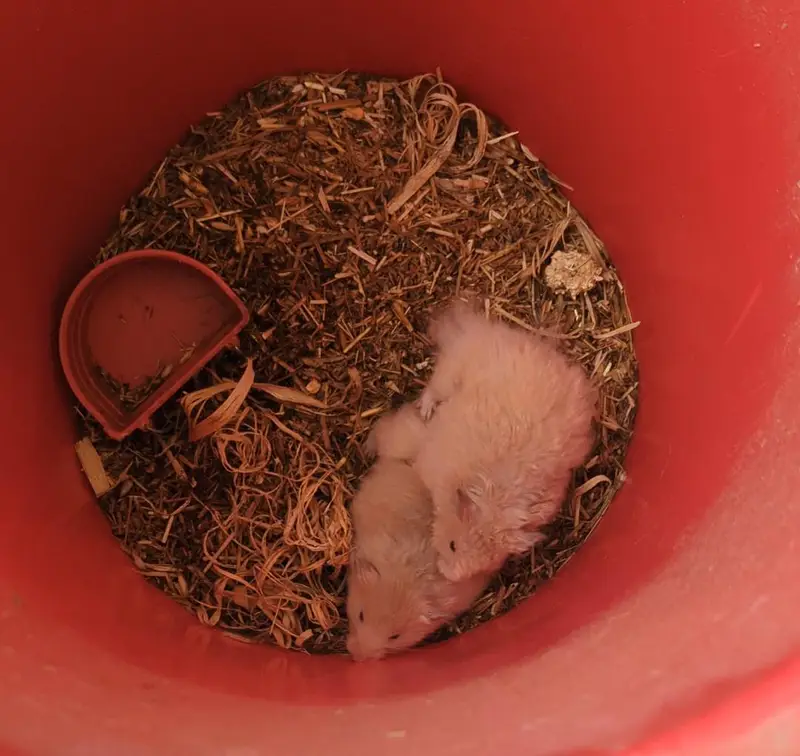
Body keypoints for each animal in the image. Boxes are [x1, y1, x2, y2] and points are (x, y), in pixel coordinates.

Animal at [412, 298, 598, 582]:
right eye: (453, 545)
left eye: (490, 562)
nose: (448, 575)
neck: (495, 496)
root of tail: (483, 330)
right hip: (449, 374)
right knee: (432, 390)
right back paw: (424, 410)